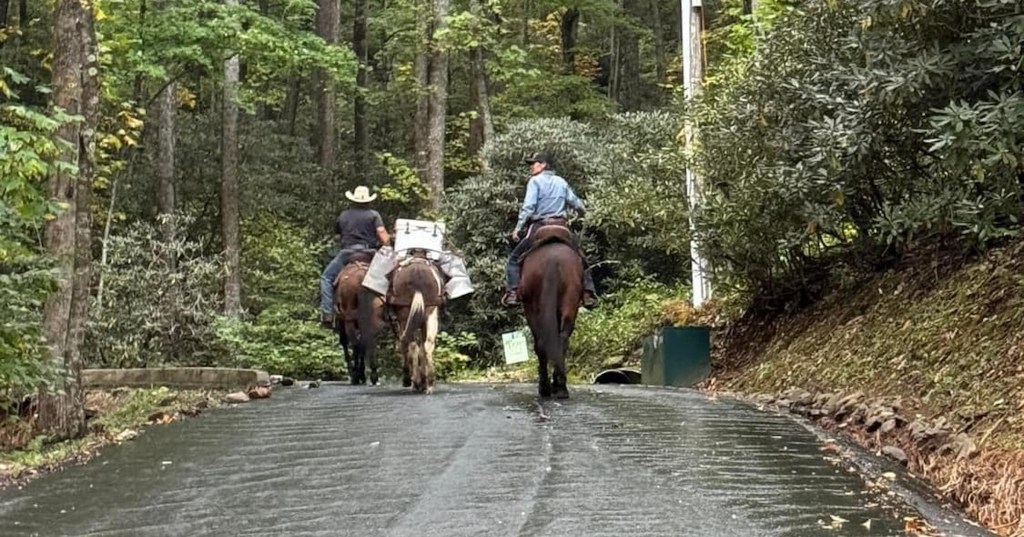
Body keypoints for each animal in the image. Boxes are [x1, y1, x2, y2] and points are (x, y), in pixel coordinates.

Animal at [333, 252, 385, 385]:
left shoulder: (343, 320)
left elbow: (345, 343)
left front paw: (354, 373)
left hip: (349, 319)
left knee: (356, 344)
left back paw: (357, 375)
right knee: (368, 340)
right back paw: (372, 373)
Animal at [387, 256, 444, 393]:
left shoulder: (401, 323)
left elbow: (406, 347)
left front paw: (410, 380)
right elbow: (423, 348)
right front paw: (423, 382)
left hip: (405, 316)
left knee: (412, 345)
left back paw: (416, 381)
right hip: (431, 313)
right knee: (427, 344)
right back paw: (429, 383)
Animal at [520, 224, 585, 395]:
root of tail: (553, 260)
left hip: (533, 306)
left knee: (542, 343)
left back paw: (546, 386)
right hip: (570, 300)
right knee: (562, 339)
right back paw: (560, 386)